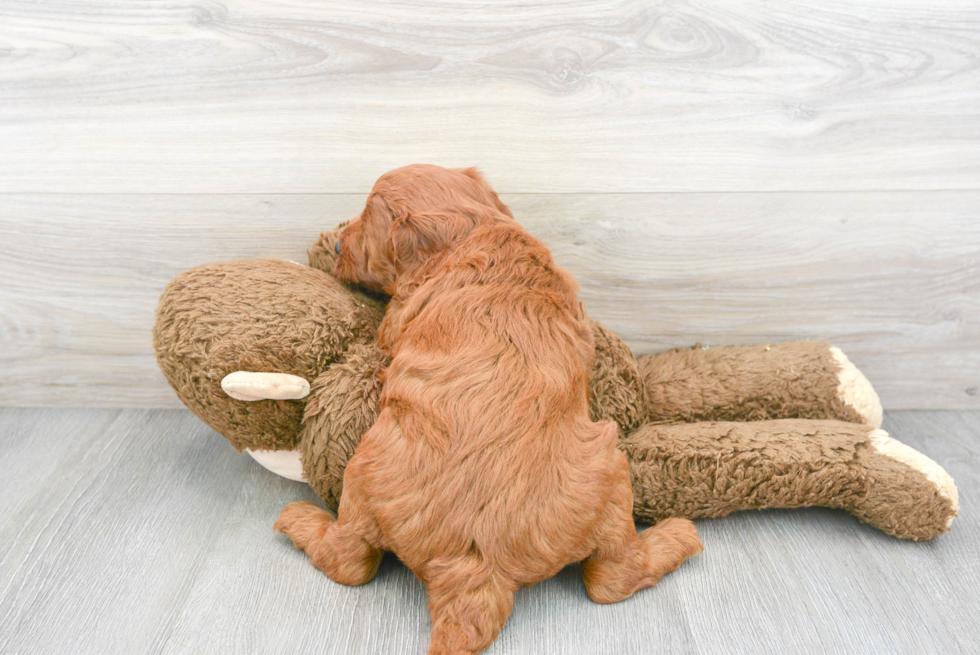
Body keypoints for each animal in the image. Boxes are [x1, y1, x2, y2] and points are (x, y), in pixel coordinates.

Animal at [276, 165, 704, 655]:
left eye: (368, 221)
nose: (337, 245)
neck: (472, 229)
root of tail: (475, 570)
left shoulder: (396, 319)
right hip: (607, 471)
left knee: (349, 559)